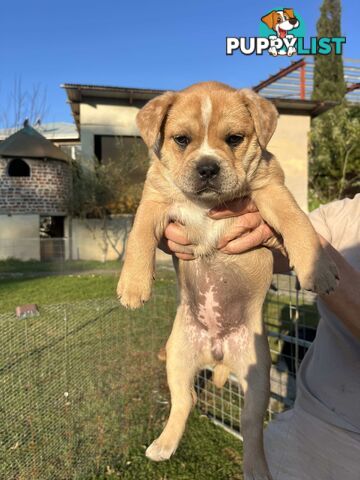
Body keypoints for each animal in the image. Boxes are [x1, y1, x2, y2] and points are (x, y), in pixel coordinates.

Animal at [117, 80, 338, 478]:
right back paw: (163, 445)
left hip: (257, 378)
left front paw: (321, 268)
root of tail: (216, 351)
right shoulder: (154, 200)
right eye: (181, 140)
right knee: (185, 399)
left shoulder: (272, 191)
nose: (207, 167)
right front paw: (133, 286)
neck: (206, 205)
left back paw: (256, 468)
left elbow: (298, 222)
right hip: (178, 356)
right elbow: (138, 236)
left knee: (251, 427)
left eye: (234, 139)